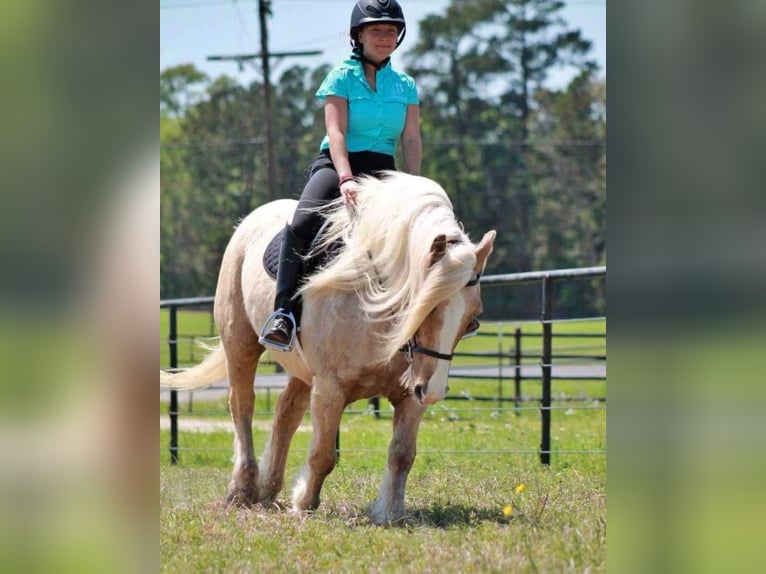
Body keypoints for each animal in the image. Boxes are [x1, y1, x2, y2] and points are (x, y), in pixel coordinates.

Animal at [162, 172, 498, 528]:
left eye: (472, 318)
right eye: (426, 306)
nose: (434, 391)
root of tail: (251, 220)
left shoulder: (411, 394)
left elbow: (402, 454)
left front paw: (390, 512)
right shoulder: (330, 387)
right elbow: (323, 454)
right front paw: (304, 504)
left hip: (302, 372)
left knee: (286, 413)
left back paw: (268, 488)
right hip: (240, 343)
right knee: (242, 406)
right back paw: (243, 488)